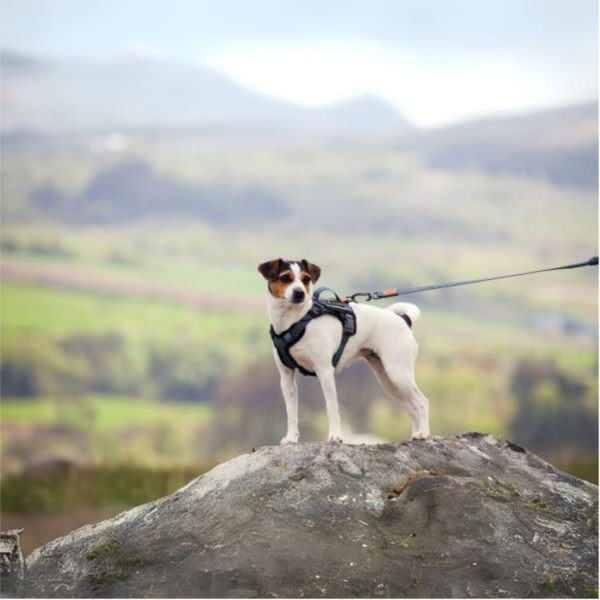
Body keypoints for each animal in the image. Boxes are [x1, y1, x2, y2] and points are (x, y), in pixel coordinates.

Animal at [255, 258, 428, 446]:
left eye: (306, 279)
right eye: (285, 278)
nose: (300, 293)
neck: (295, 320)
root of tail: (404, 320)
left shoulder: (325, 372)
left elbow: (332, 410)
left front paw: (336, 436)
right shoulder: (286, 377)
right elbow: (291, 413)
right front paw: (292, 438)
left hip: (398, 374)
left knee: (422, 402)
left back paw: (423, 434)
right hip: (389, 381)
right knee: (412, 407)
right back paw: (415, 434)